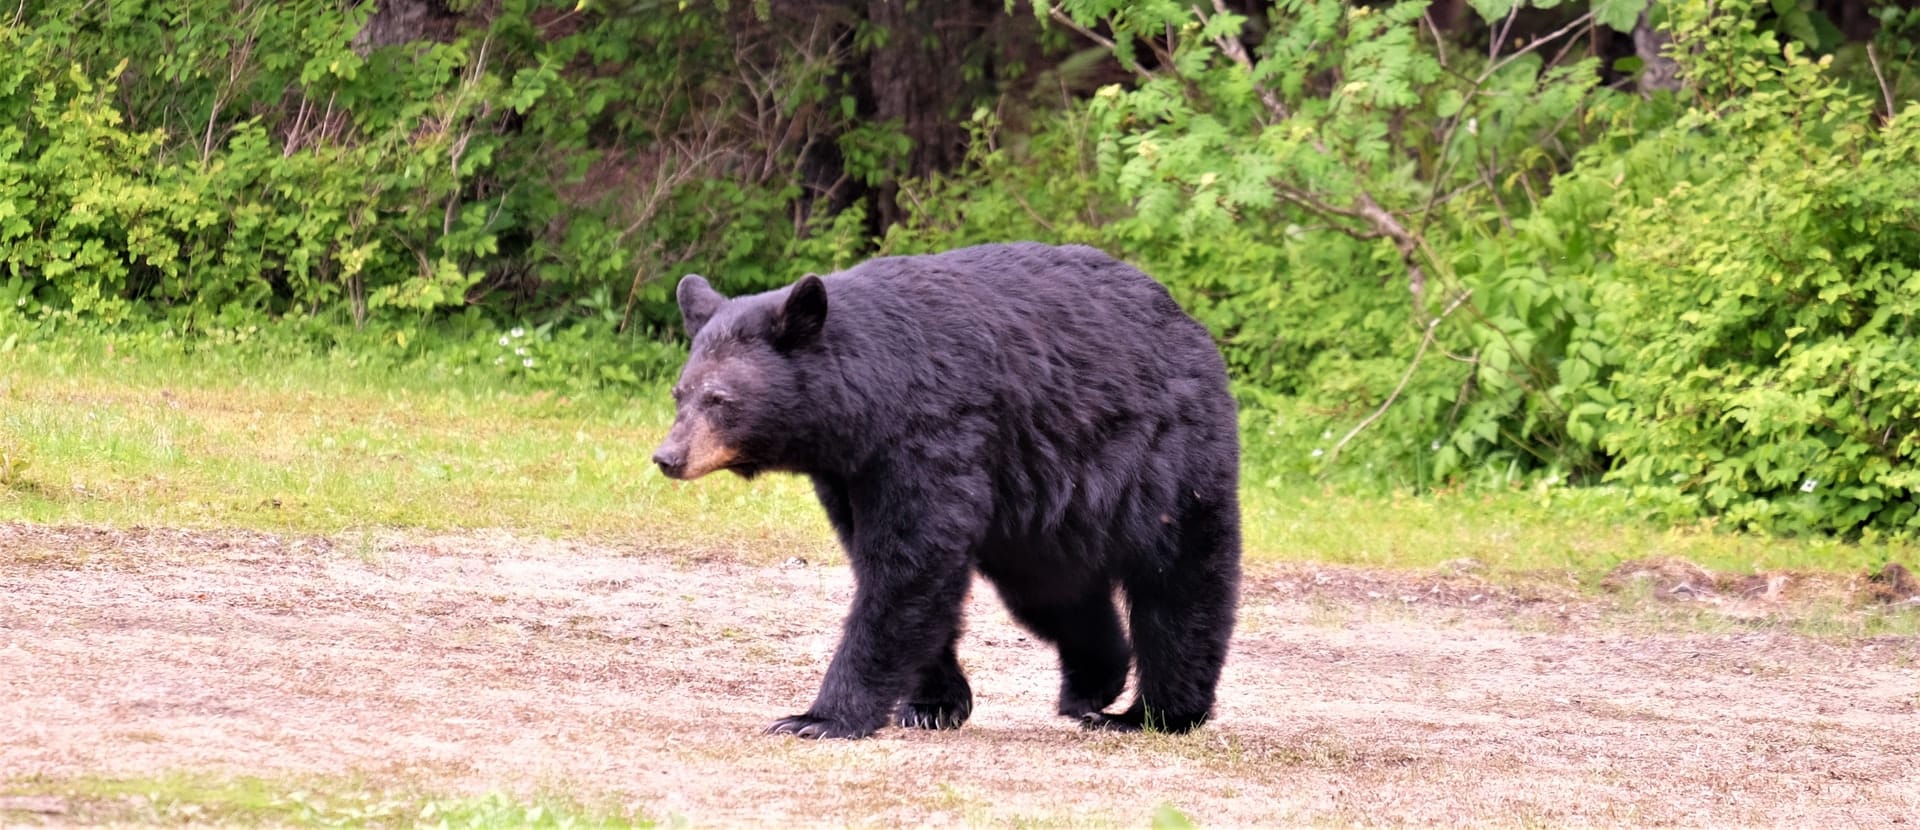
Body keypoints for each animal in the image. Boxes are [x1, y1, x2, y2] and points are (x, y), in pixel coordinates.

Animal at [652, 241, 1236, 737]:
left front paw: (818, 717)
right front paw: (933, 704)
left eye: (720, 399)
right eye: (680, 392)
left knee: (1180, 580)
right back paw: (1092, 684)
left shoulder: (932, 432)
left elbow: (911, 561)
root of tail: (1188, 322)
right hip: (1040, 514)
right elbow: (890, 565)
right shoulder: (850, 473)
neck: (868, 403)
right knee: (1053, 592)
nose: (668, 457)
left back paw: (1156, 712)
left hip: (1165, 457)